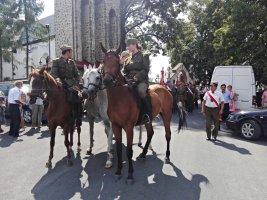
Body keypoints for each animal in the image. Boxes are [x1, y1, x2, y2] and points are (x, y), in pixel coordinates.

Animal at [100, 44, 174, 184]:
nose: (107, 81)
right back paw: (143, 154)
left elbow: (129, 151)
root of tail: (164, 88)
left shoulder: (129, 128)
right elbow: (119, 149)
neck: (120, 98)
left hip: (167, 116)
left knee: (168, 135)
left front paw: (130, 174)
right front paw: (118, 171)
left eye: (117, 62)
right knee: (150, 133)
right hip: (148, 120)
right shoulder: (116, 126)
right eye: (103, 61)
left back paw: (167, 156)